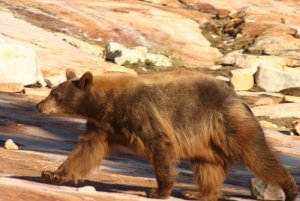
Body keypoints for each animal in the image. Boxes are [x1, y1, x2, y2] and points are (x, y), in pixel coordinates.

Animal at [37, 69, 298, 201]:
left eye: (55, 94)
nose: (39, 106)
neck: (107, 104)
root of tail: (240, 99)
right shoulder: (102, 127)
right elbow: (85, 152)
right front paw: (53, 174)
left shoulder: (139, 111)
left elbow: (160, 144)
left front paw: (158, 191)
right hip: (205, 138)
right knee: (208, 165)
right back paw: (200, 193)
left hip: (227, 122)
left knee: (255, 153)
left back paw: (289, 188)